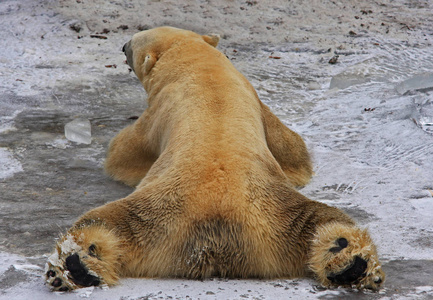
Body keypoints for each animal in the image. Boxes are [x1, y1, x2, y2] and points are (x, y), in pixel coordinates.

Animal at [45, 27, 384, 292]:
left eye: (134, 41)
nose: (122, 45)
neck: (202, 67)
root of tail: (219, 237)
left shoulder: (157, 112)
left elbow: (122, 153)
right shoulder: (254, 97)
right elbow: (293, 151)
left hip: (163, 212)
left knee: (99, 220)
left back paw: (72, 266)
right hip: (276, 217)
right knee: (323, 223)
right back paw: (351, 262)